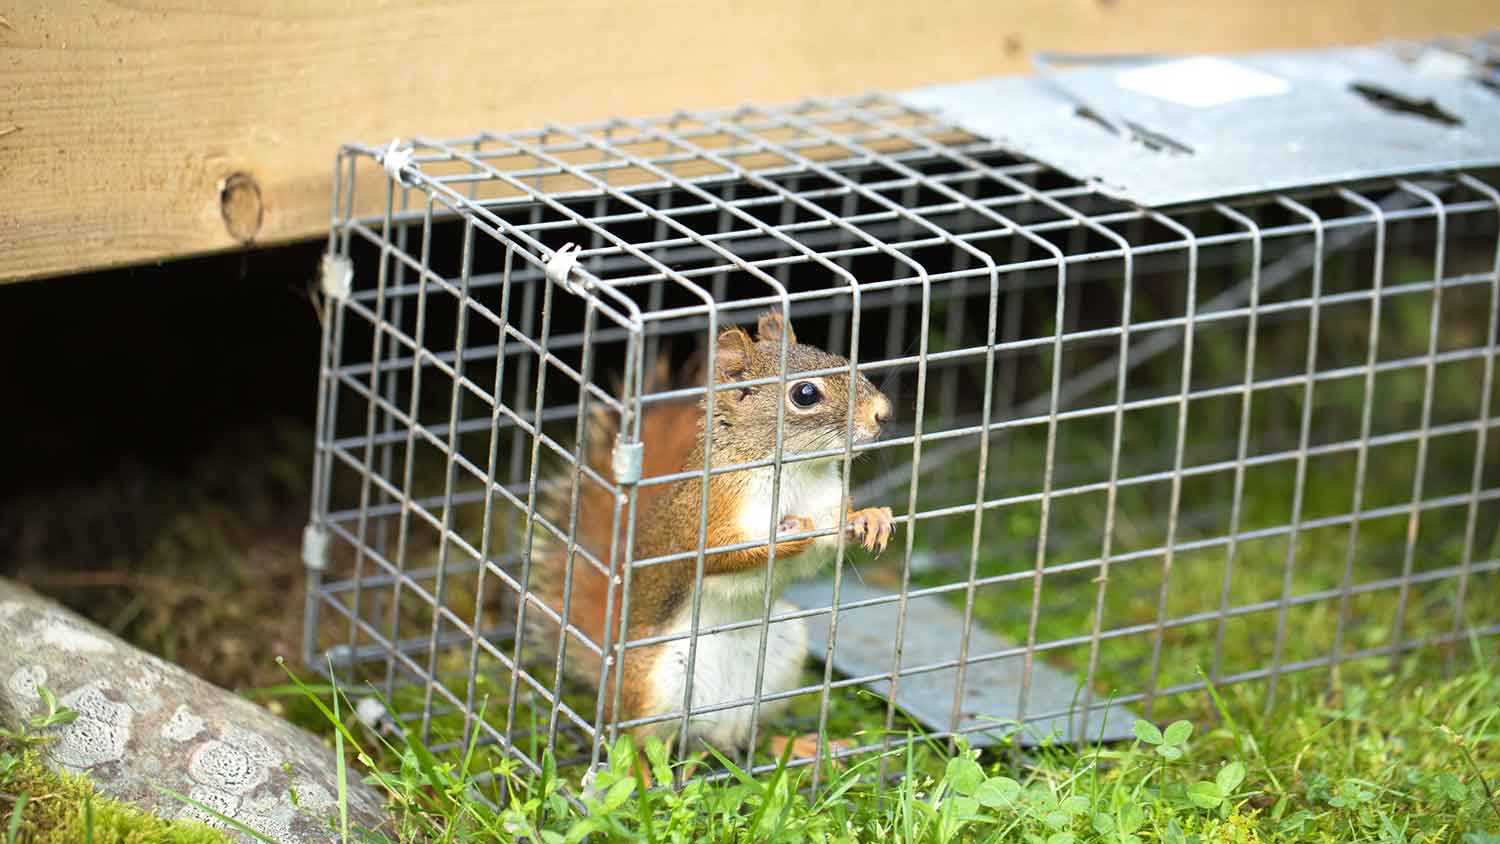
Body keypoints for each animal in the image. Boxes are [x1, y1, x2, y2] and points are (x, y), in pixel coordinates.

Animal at [526, 310, 894, 762]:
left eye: (840, 358)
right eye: (805, 394)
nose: (883, 414)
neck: (794, 472)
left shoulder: (825, 503)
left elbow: (828, 541)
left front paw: (871, 517)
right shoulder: (709, 510)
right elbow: (717, 554)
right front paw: (786, 534)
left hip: (781, 651)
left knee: (749, 736)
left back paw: (799, 745)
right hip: (658, 683)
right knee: (639, 743)